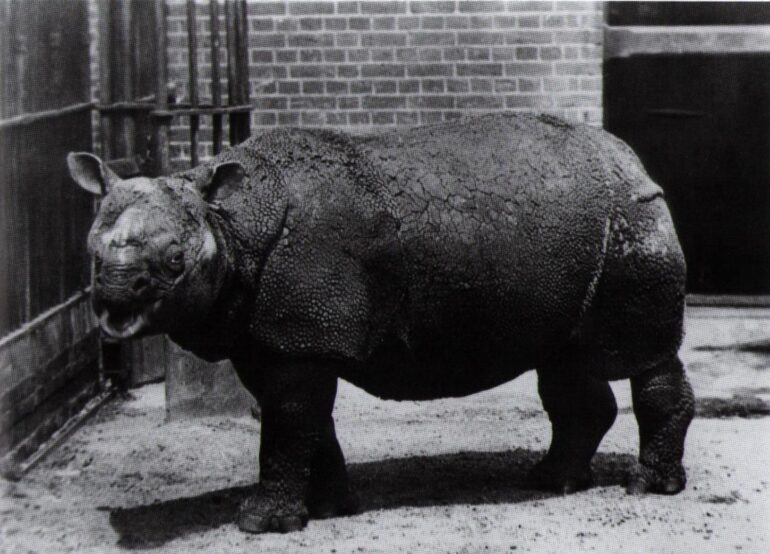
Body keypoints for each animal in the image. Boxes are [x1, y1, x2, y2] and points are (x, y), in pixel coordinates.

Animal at [67, 113, 694, 533]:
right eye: (91, 252)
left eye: (175, 261)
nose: (115, 295)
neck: (230, 223)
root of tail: (631, 158)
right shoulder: (275, 338)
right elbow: (305, 422)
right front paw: (330, 508)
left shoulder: (301, 337)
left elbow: (288, 422)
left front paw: (261, 522)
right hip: (579, 237)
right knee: (562, 361)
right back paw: (550, 481)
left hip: (633, 217)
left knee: (644, 357)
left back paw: (647, 487)